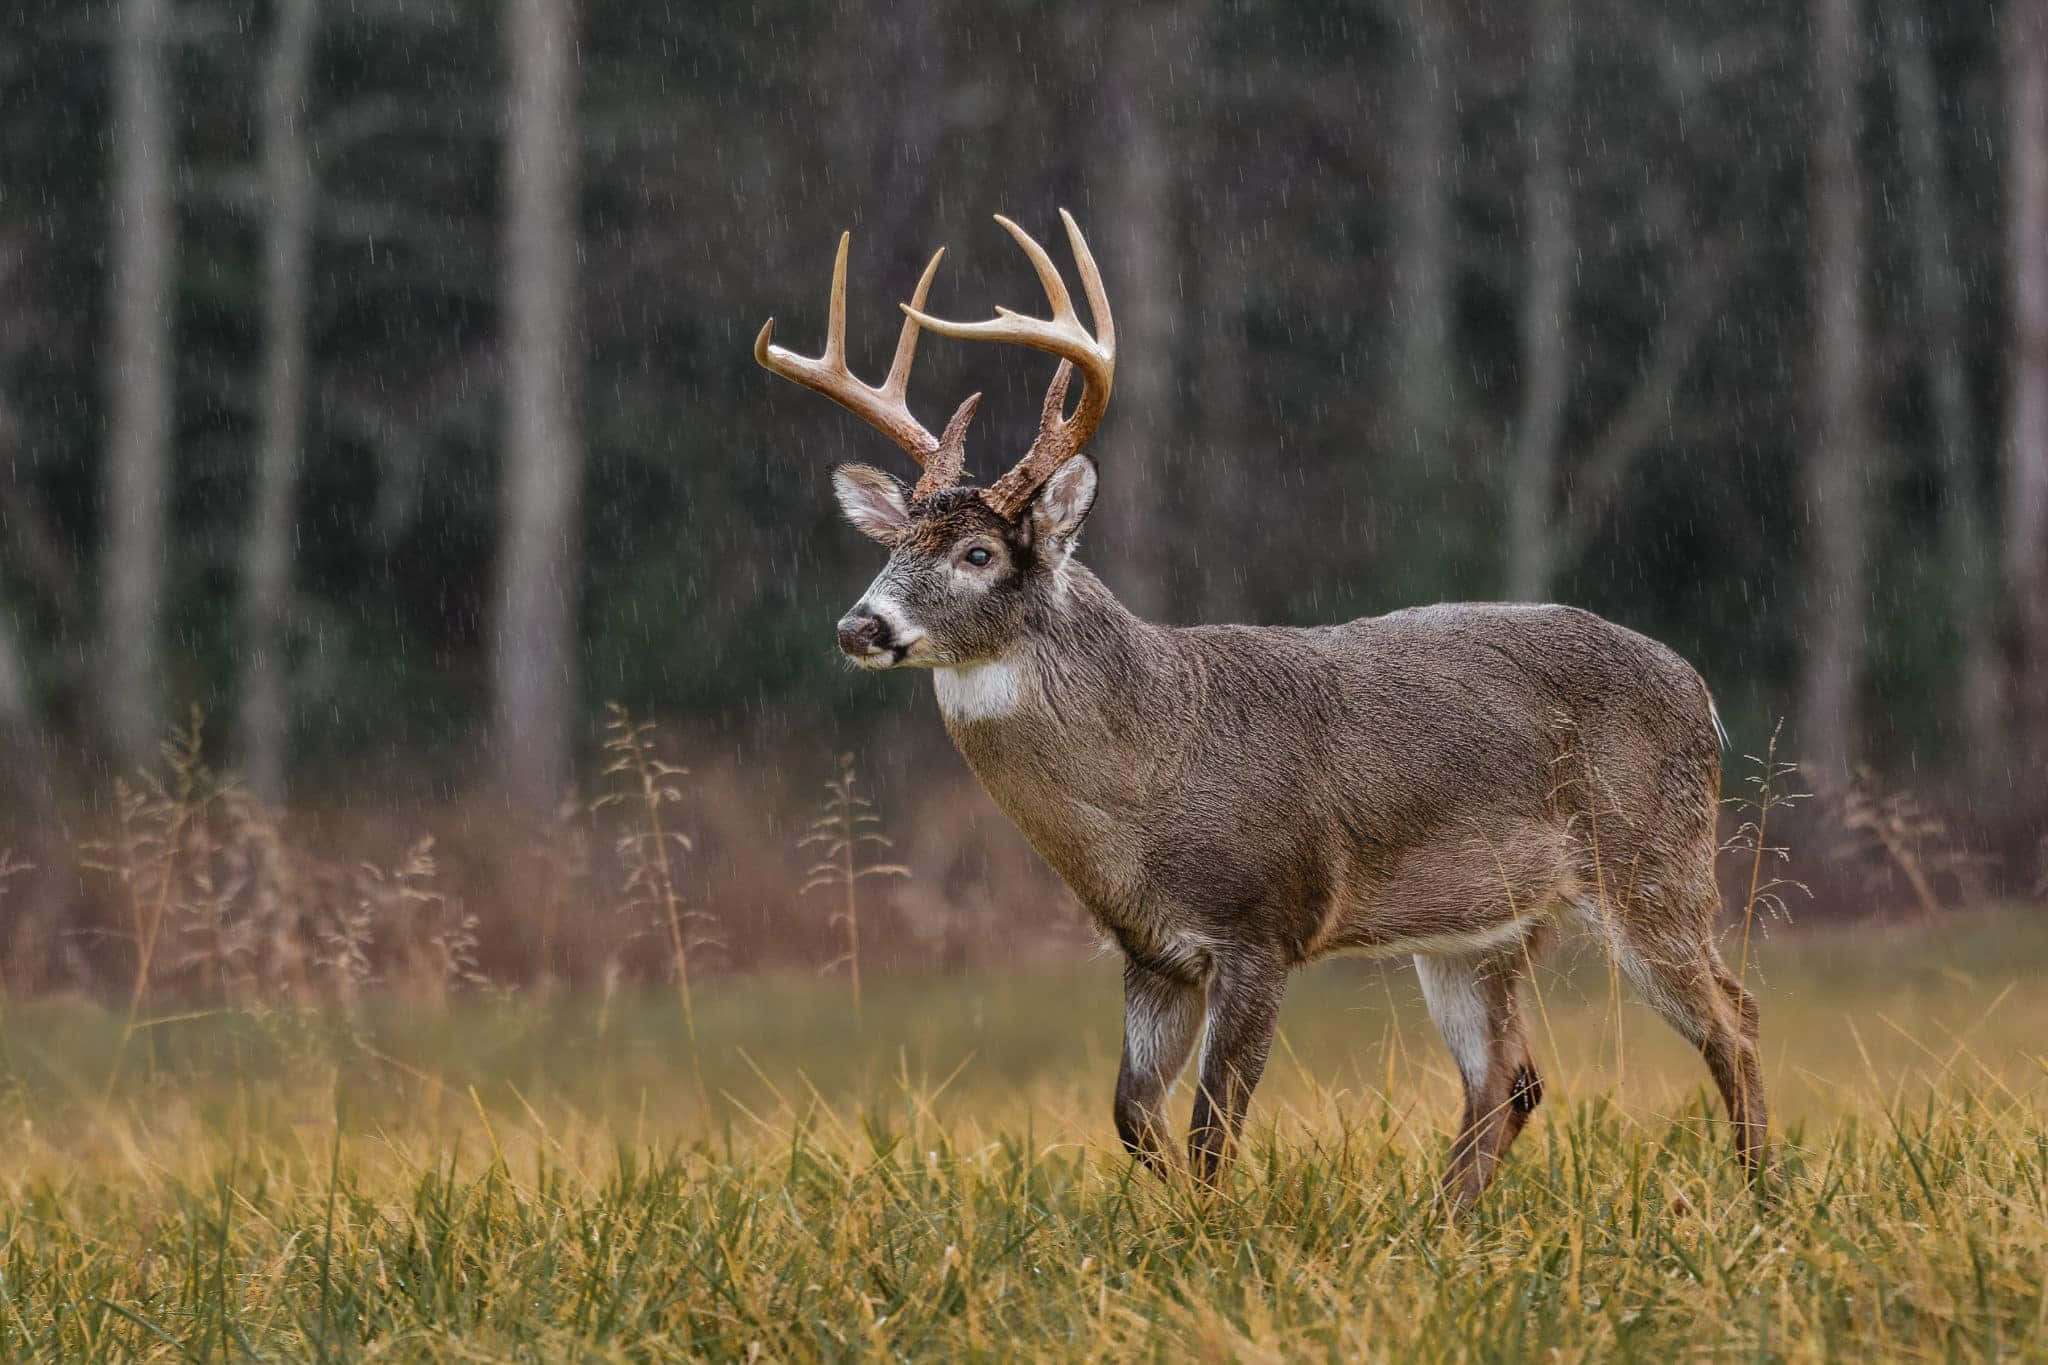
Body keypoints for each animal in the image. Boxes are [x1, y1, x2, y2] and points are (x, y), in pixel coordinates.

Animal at [754, 211, 1768, 1206]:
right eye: (895, 546)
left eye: (978, 553)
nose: (860, 624)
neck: (1147, 773)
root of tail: (1701, 691)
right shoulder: (1151, 952)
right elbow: (1133, 1115)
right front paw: (1176, 1226)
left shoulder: (1263, 922)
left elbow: (1212, 1128)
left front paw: (1216, 1233)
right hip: (1481, 926)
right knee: (1509, 1079)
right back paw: (1434, 1226)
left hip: (1650, 856)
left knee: (1734, 1015)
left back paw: (1759, 1198)